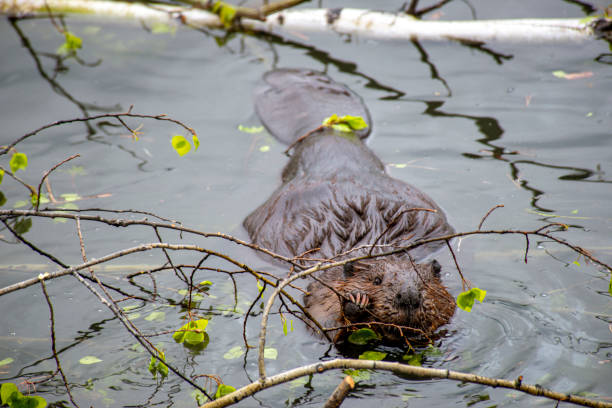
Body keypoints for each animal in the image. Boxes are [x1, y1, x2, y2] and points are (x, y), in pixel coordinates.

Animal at [244, 67, 454, 342]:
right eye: (376, 280)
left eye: (423, 282)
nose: (408, 296)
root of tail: (328, 130)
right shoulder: (320, 288)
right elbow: (323, 321)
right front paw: (356, 302)